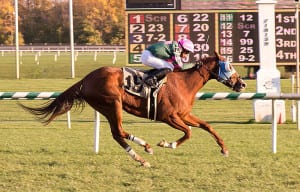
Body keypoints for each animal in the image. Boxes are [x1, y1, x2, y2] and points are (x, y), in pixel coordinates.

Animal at [20, 51, 246, 167]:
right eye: (229, 66)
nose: (242, 84)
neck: (184, 83)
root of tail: (85, 79)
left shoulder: (184, 114)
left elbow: (207, 126)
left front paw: (224, 149)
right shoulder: (169, 117)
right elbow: (189, 132)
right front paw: (167, 144)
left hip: (107, 107)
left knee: (116, 134)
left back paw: (140, 158)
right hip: (113, 103)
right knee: (119, 131)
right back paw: (146, 147)